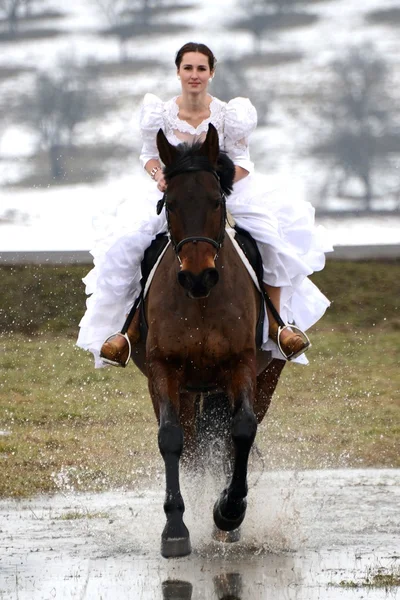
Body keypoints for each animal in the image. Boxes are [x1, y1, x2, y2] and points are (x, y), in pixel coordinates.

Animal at [131, 123, 284, 556]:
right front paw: (175, 529)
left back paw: (225, 527)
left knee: (229, 442)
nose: (198, 276)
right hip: (185, 389)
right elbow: (172, 439)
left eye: (217, 201)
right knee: (194, 448)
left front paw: (228, 513)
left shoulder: (241, 365)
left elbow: (242, 431)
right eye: (169, 203)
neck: (201, 302)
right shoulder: (164, 370)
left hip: (264, 378)